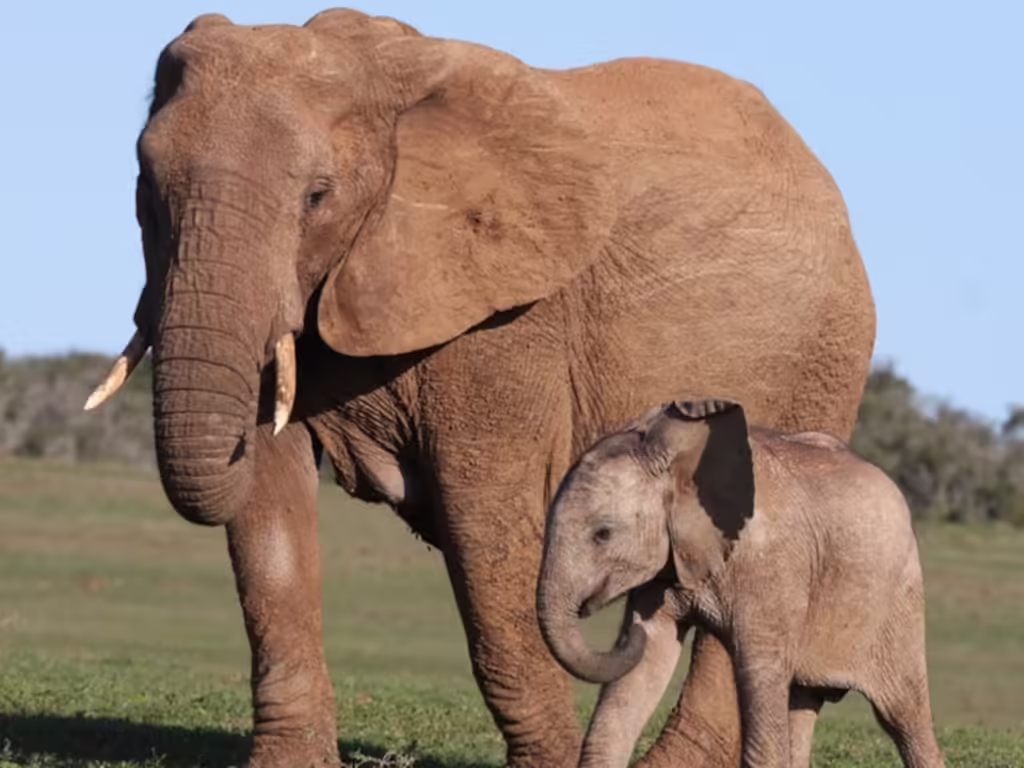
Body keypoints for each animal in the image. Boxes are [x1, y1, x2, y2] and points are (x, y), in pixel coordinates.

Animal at [84, 8, 876, 768]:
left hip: (821, 361)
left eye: (317, 196)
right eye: (144, 188)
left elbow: (485, 524)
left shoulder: (508, 317)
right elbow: (269, 511)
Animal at [537, 398, 945, 768]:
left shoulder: (769, 567)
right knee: (802, 703)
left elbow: (758, 674)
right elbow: (646, 663)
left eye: (602, 534)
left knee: (904, 715)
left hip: (900, 602)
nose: (625, 633)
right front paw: (644, 635)